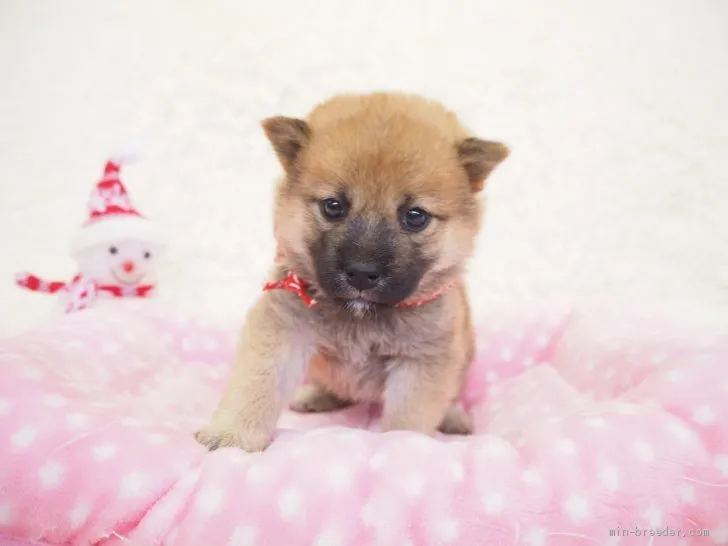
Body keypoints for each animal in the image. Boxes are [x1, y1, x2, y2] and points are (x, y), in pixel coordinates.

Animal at [196, 92, 510, 450]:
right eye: (333, 206)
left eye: (415, 216)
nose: (362, 273)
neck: (361, 315)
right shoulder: (282, 330)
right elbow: (256, 384)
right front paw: (232, 434)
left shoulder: (422, 361)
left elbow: (409, 417)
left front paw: (406, 447)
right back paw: (317, 395)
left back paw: (453, 416)